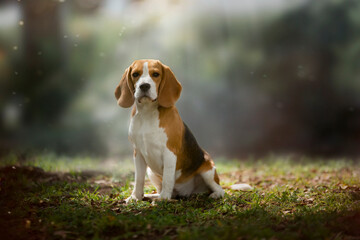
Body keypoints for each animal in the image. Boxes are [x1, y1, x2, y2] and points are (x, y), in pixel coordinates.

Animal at [115, 59, 224, 201]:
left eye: (156, 74)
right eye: (135, 74)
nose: (144, 86)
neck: (147, 113)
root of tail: (186, 192)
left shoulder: (170, 152)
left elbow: (167, 178)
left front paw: (163, 199)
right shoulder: (137, 153)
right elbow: (138, 179)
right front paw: (135, 197)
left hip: (208, 171)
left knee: (220, 189)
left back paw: (215, 194)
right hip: (151, 172)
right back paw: (152, 195)